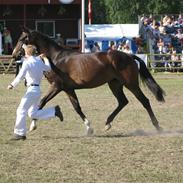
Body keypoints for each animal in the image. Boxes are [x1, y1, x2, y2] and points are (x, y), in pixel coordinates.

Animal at [12, 27, 165, 136]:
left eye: (22, 39)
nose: (14, 54)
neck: (55, 58)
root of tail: (129, 56)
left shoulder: (56, 86)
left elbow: (42, 102)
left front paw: (33, 125)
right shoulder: (68, 89)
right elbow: (77, 107)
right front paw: (89, 128)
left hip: (131, 84)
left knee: (144, 101)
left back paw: (158, 127)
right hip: (114, 84)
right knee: (123, 102)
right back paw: (107, 123)